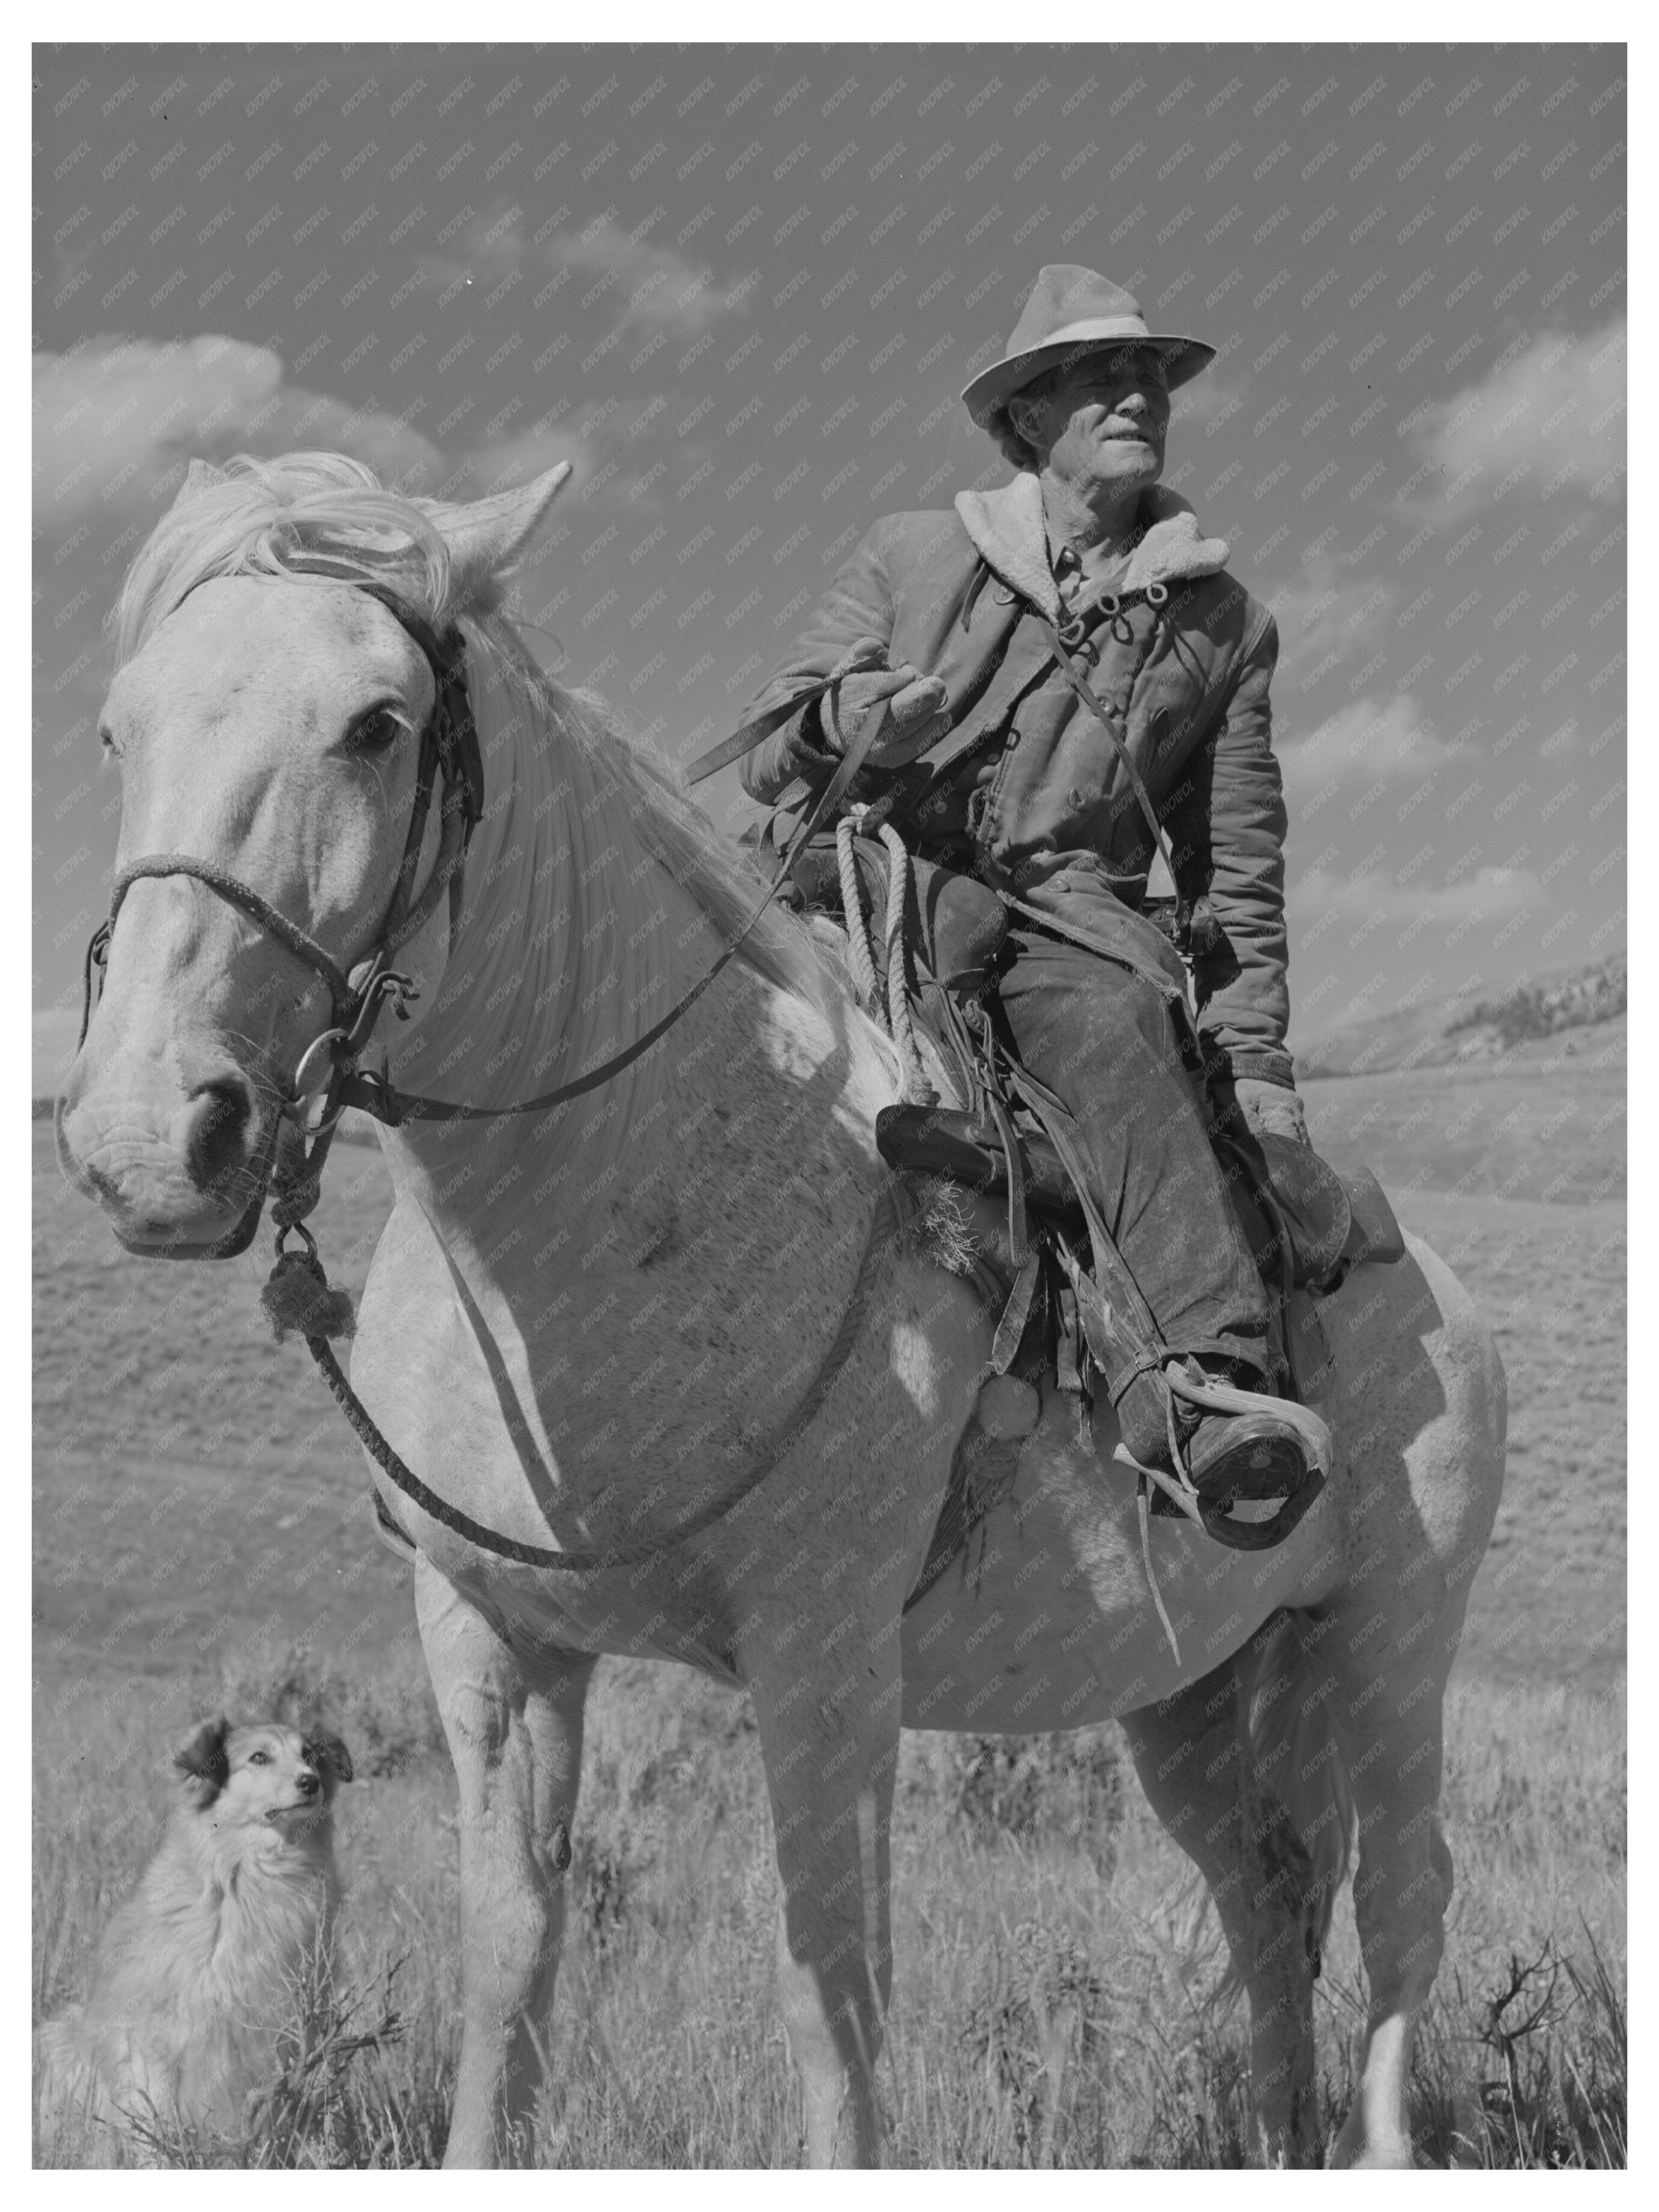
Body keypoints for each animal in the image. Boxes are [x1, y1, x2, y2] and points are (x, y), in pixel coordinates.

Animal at [37, 1707, 354, 2159]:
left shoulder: (285, 2034)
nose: (310, 1781)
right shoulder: (155, 2036)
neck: (250, 1879)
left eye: (309, 1754)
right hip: (61, 2036)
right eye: (259, 1757)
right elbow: (156, 2120)